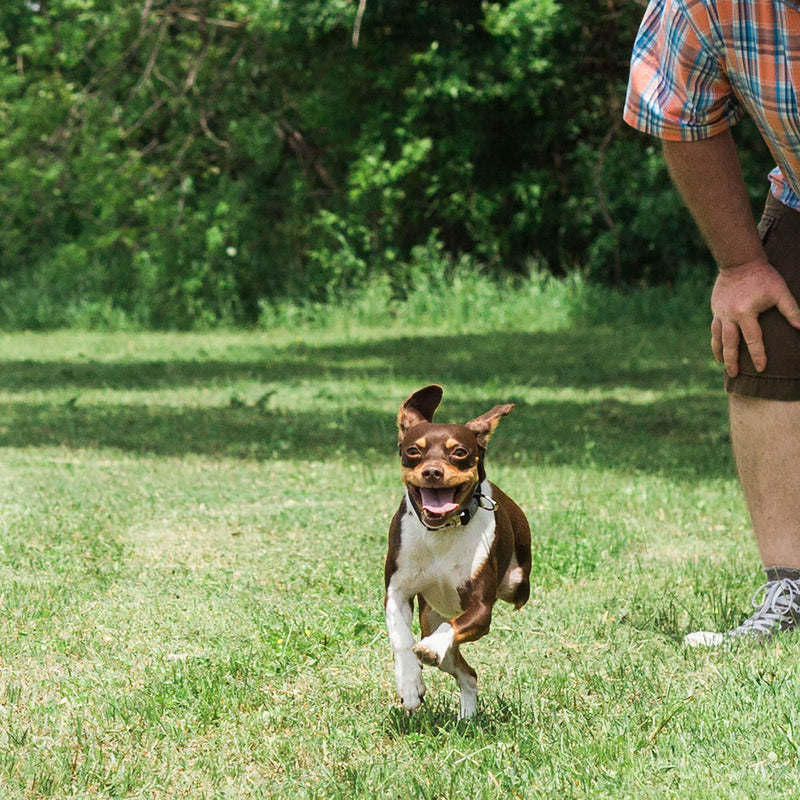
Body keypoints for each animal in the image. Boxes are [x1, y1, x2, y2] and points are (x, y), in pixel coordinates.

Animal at [382, 382, 532, 720]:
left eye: (460, 452)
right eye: (413, 451)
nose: (432, 472)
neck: (442, 532)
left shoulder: (481, 609)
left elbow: (453, 627)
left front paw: (432, 647)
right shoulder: (397, 592)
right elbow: (401, 638)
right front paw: (410, 685)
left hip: (516, 586)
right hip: (430, 618)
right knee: (467, 673)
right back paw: (466, 716)